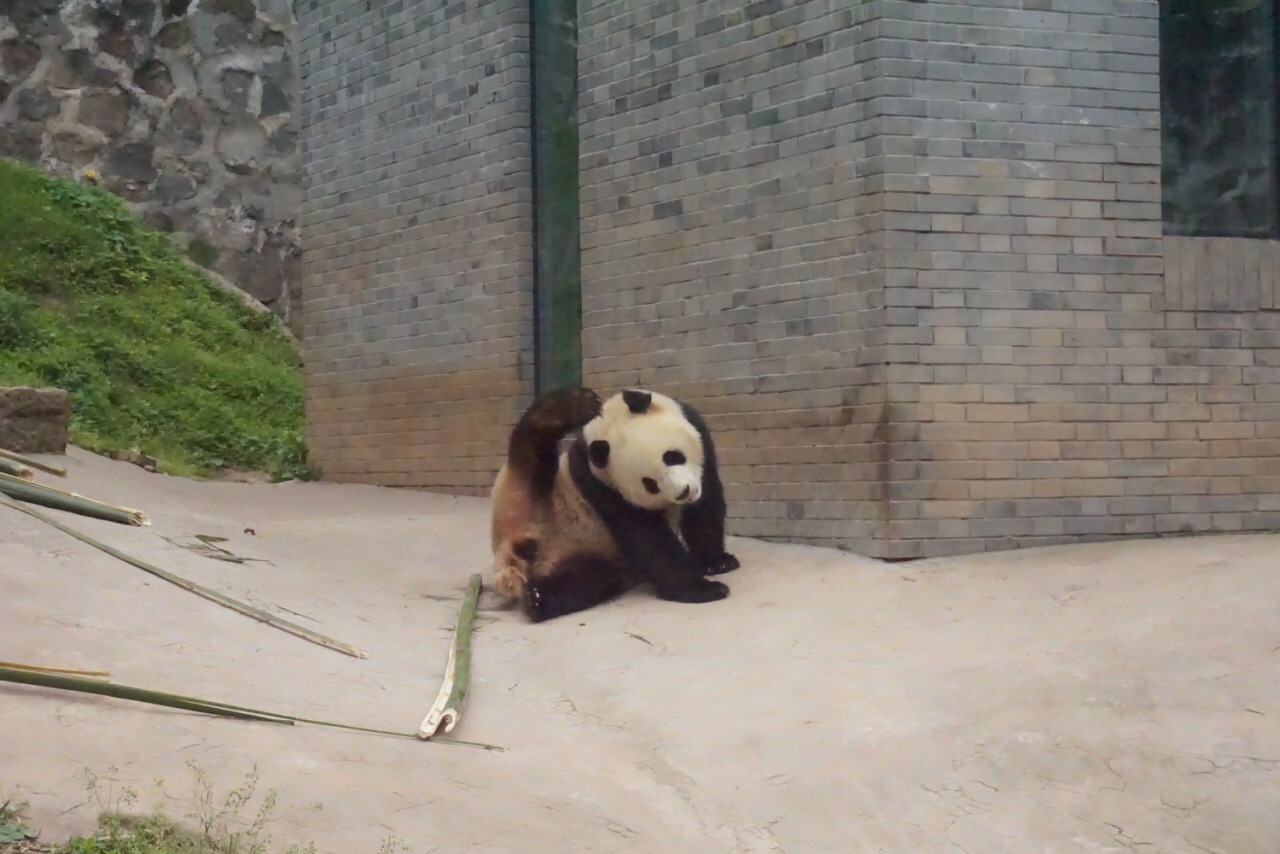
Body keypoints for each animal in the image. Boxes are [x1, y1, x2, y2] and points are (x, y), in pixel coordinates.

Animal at [488, 386, 742, 622]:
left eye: (672, 456)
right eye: (650, 484)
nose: (684, 493)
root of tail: (511, 549)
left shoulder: (698, 434)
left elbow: (706, 505)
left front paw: (717, 563)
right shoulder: (599, 481)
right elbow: (645, 534)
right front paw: (702, 589)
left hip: (593, 556)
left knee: (589, 580)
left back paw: (539, 599)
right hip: (526, 491)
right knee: (531, 450)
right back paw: (575, 406)